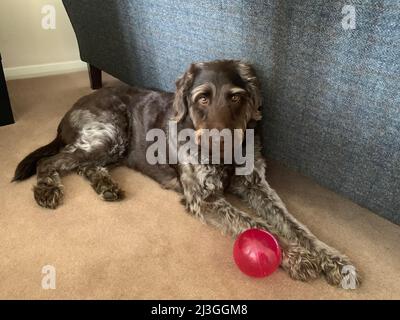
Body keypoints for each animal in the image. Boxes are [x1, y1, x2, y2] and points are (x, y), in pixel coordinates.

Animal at [14, 60, 360, 288]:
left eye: (236, 96)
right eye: (202, 97)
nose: (220, 141)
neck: (224, 157)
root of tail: (70, 110)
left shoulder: (256, 185)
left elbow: (294, 224)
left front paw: (333, 259)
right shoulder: (204, 199)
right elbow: (257, 226)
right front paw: (296, 257)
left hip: (111, 146)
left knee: (84, 165)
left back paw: (106, 185)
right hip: (111, 133)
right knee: (52, 162)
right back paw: (47, 189)